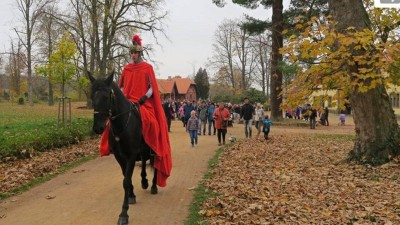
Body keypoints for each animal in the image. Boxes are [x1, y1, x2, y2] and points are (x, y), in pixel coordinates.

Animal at [89, 72, 158, 225]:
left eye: (106, 96)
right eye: (91, 97)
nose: (98, 128)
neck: (121, 125)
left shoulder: (131, 154)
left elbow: (126, 180)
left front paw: (124, 213)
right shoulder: (120, 156)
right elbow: (126, 177)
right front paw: (131, 195)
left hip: (154, 148)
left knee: (156, 164)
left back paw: (154, 186)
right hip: (141, 149)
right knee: (143, 161)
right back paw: (144, 181)